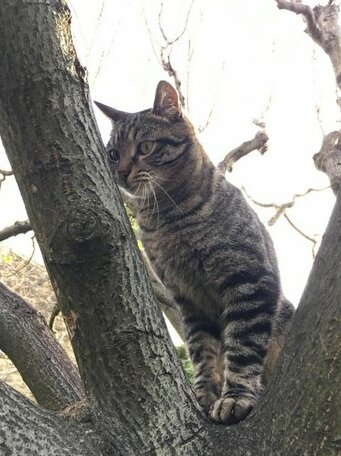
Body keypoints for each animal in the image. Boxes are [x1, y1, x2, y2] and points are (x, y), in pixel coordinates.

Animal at [94, 80, 294, 426]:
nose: (120, 171)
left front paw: (235, 396)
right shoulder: (188, 299)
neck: (166, 219)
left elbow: (242, 345)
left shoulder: (249, 279)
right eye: (113, 154)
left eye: (145, 147)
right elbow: (202, 351)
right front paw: (205, 392)